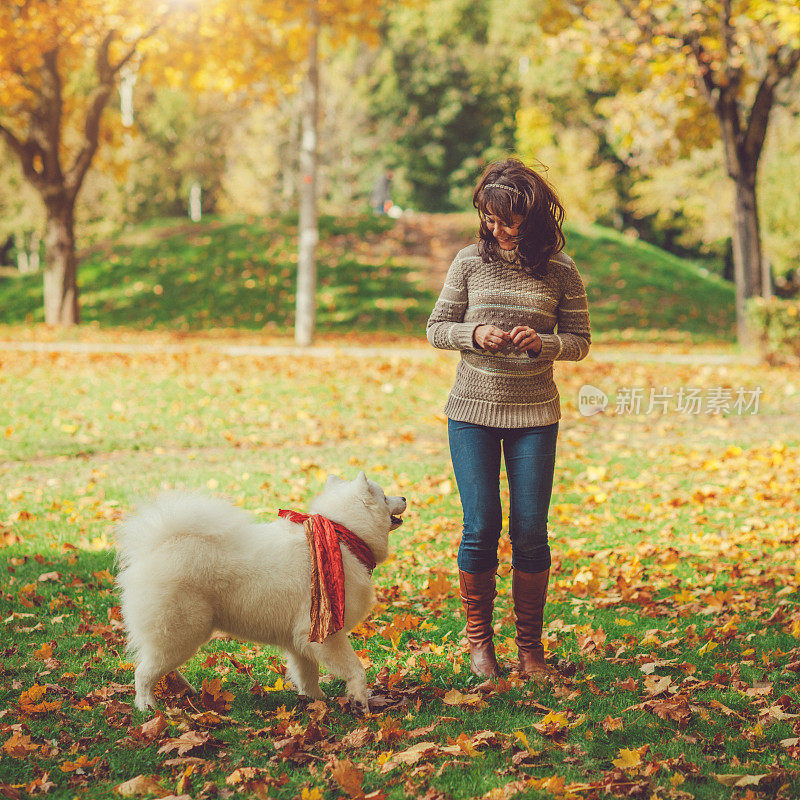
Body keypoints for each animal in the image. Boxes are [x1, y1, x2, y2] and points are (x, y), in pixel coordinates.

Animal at [114, 472, 406, 708]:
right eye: (384, 496)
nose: (403, 496)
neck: (343, 534)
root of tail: (159, 546)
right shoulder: (326, 633)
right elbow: (355, 668)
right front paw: (359, 699)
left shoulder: (302, 638)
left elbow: (307, 674)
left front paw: (316, 700)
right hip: (181, 630)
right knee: (143, 672)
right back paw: (147, 706)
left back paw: (185, 690)